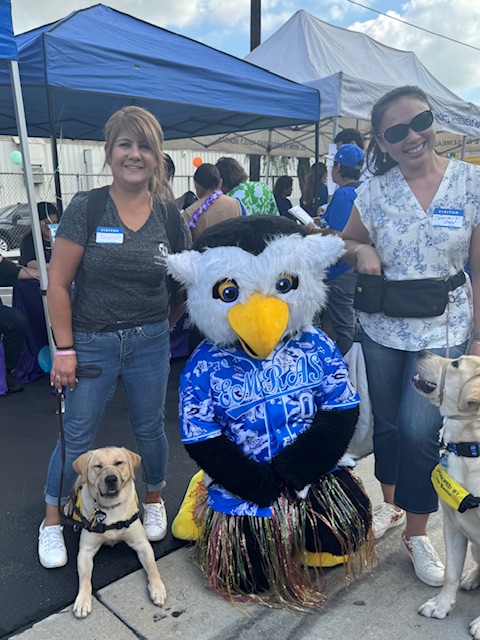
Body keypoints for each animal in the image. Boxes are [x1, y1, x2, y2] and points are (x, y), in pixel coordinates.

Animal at [68, 446, 166, 619]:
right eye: (98, 466)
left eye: (119, 463)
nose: (111, 479)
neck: (110, 508)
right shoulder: (86, 551)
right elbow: (85, 578)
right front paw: (83, 600)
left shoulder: (142, 544)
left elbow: (152, 566)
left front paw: (157, 588)